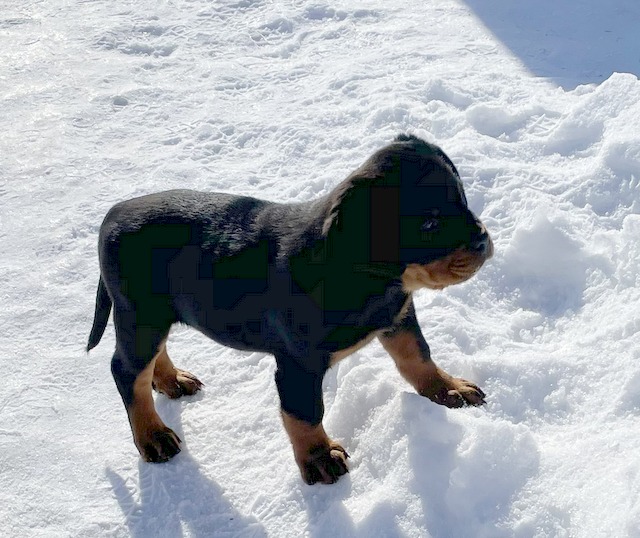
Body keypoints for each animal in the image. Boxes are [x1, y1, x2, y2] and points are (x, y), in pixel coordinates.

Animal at [87, 133, 492, 482]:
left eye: (464, 200)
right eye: (429, 223)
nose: (484, 241)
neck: (367, 278)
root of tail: (111, 215)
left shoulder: (399, 315)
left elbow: (417, 356)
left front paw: (448, 389)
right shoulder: (298, 364)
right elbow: (305, 413)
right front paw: (319, 458)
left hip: (153, 316)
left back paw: (171, 380)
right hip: (140, 314)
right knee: (126, 371)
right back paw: (152, 437)